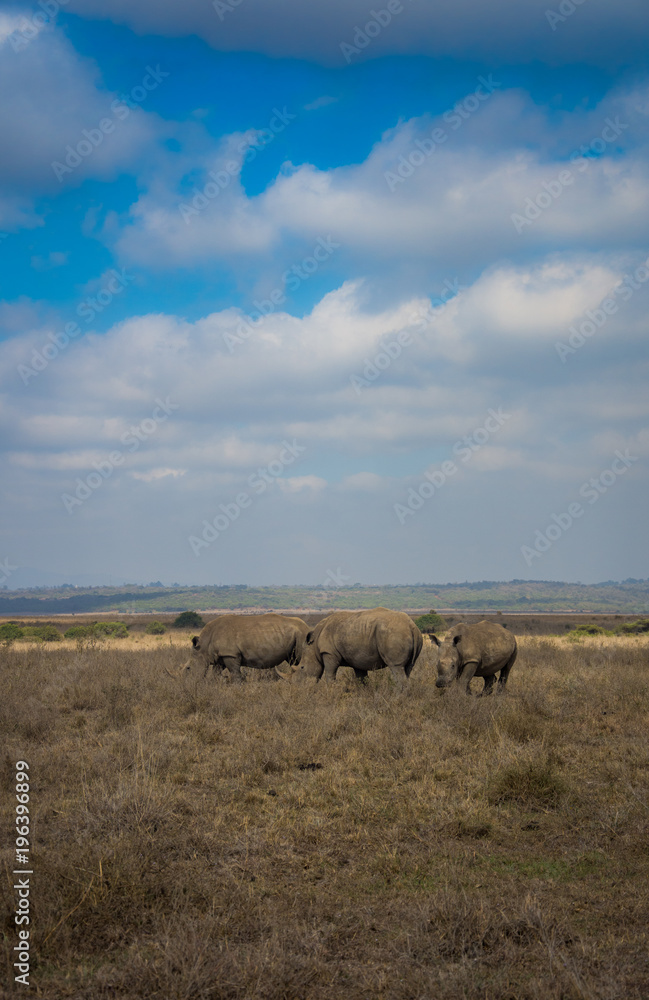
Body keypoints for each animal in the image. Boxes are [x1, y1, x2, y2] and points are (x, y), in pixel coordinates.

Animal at [166, 613, 310, 683]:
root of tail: (306, 626)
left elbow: (235, 673)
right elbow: (216, 673)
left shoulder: (230, 654)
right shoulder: (220, 656)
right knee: (293, 661)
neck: (204, 646)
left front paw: (237, 686)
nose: (183, 683)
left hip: (301, 635)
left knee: (300, 659)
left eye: (188, 668)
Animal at [285, 608, 423, 685]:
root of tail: (412, 626)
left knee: (396, 667)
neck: (313, 646)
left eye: (302, 667)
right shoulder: (358, 659)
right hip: (408, 634)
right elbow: (361, 679)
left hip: (393, 633)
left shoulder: (329, 653)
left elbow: (330, 675)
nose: (297, 687)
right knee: (408, 668)